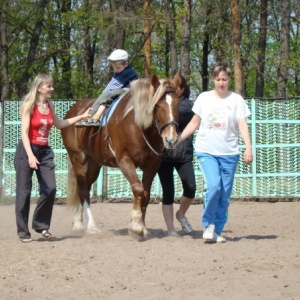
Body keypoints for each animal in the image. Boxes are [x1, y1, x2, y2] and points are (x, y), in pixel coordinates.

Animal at [61, 72, 180, 237]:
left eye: (177, 104)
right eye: (157, 105)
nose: (171, 139)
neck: (138, 126)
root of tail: (73, 111)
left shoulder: (152, 165)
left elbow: (146, 194)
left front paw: (143, 227)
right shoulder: (124, 161)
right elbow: (138, 188)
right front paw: (136, 225)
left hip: (94, 163)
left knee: (84, 186)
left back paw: (78, 222)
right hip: (77, 157)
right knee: (83, 190)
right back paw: (90, 226)